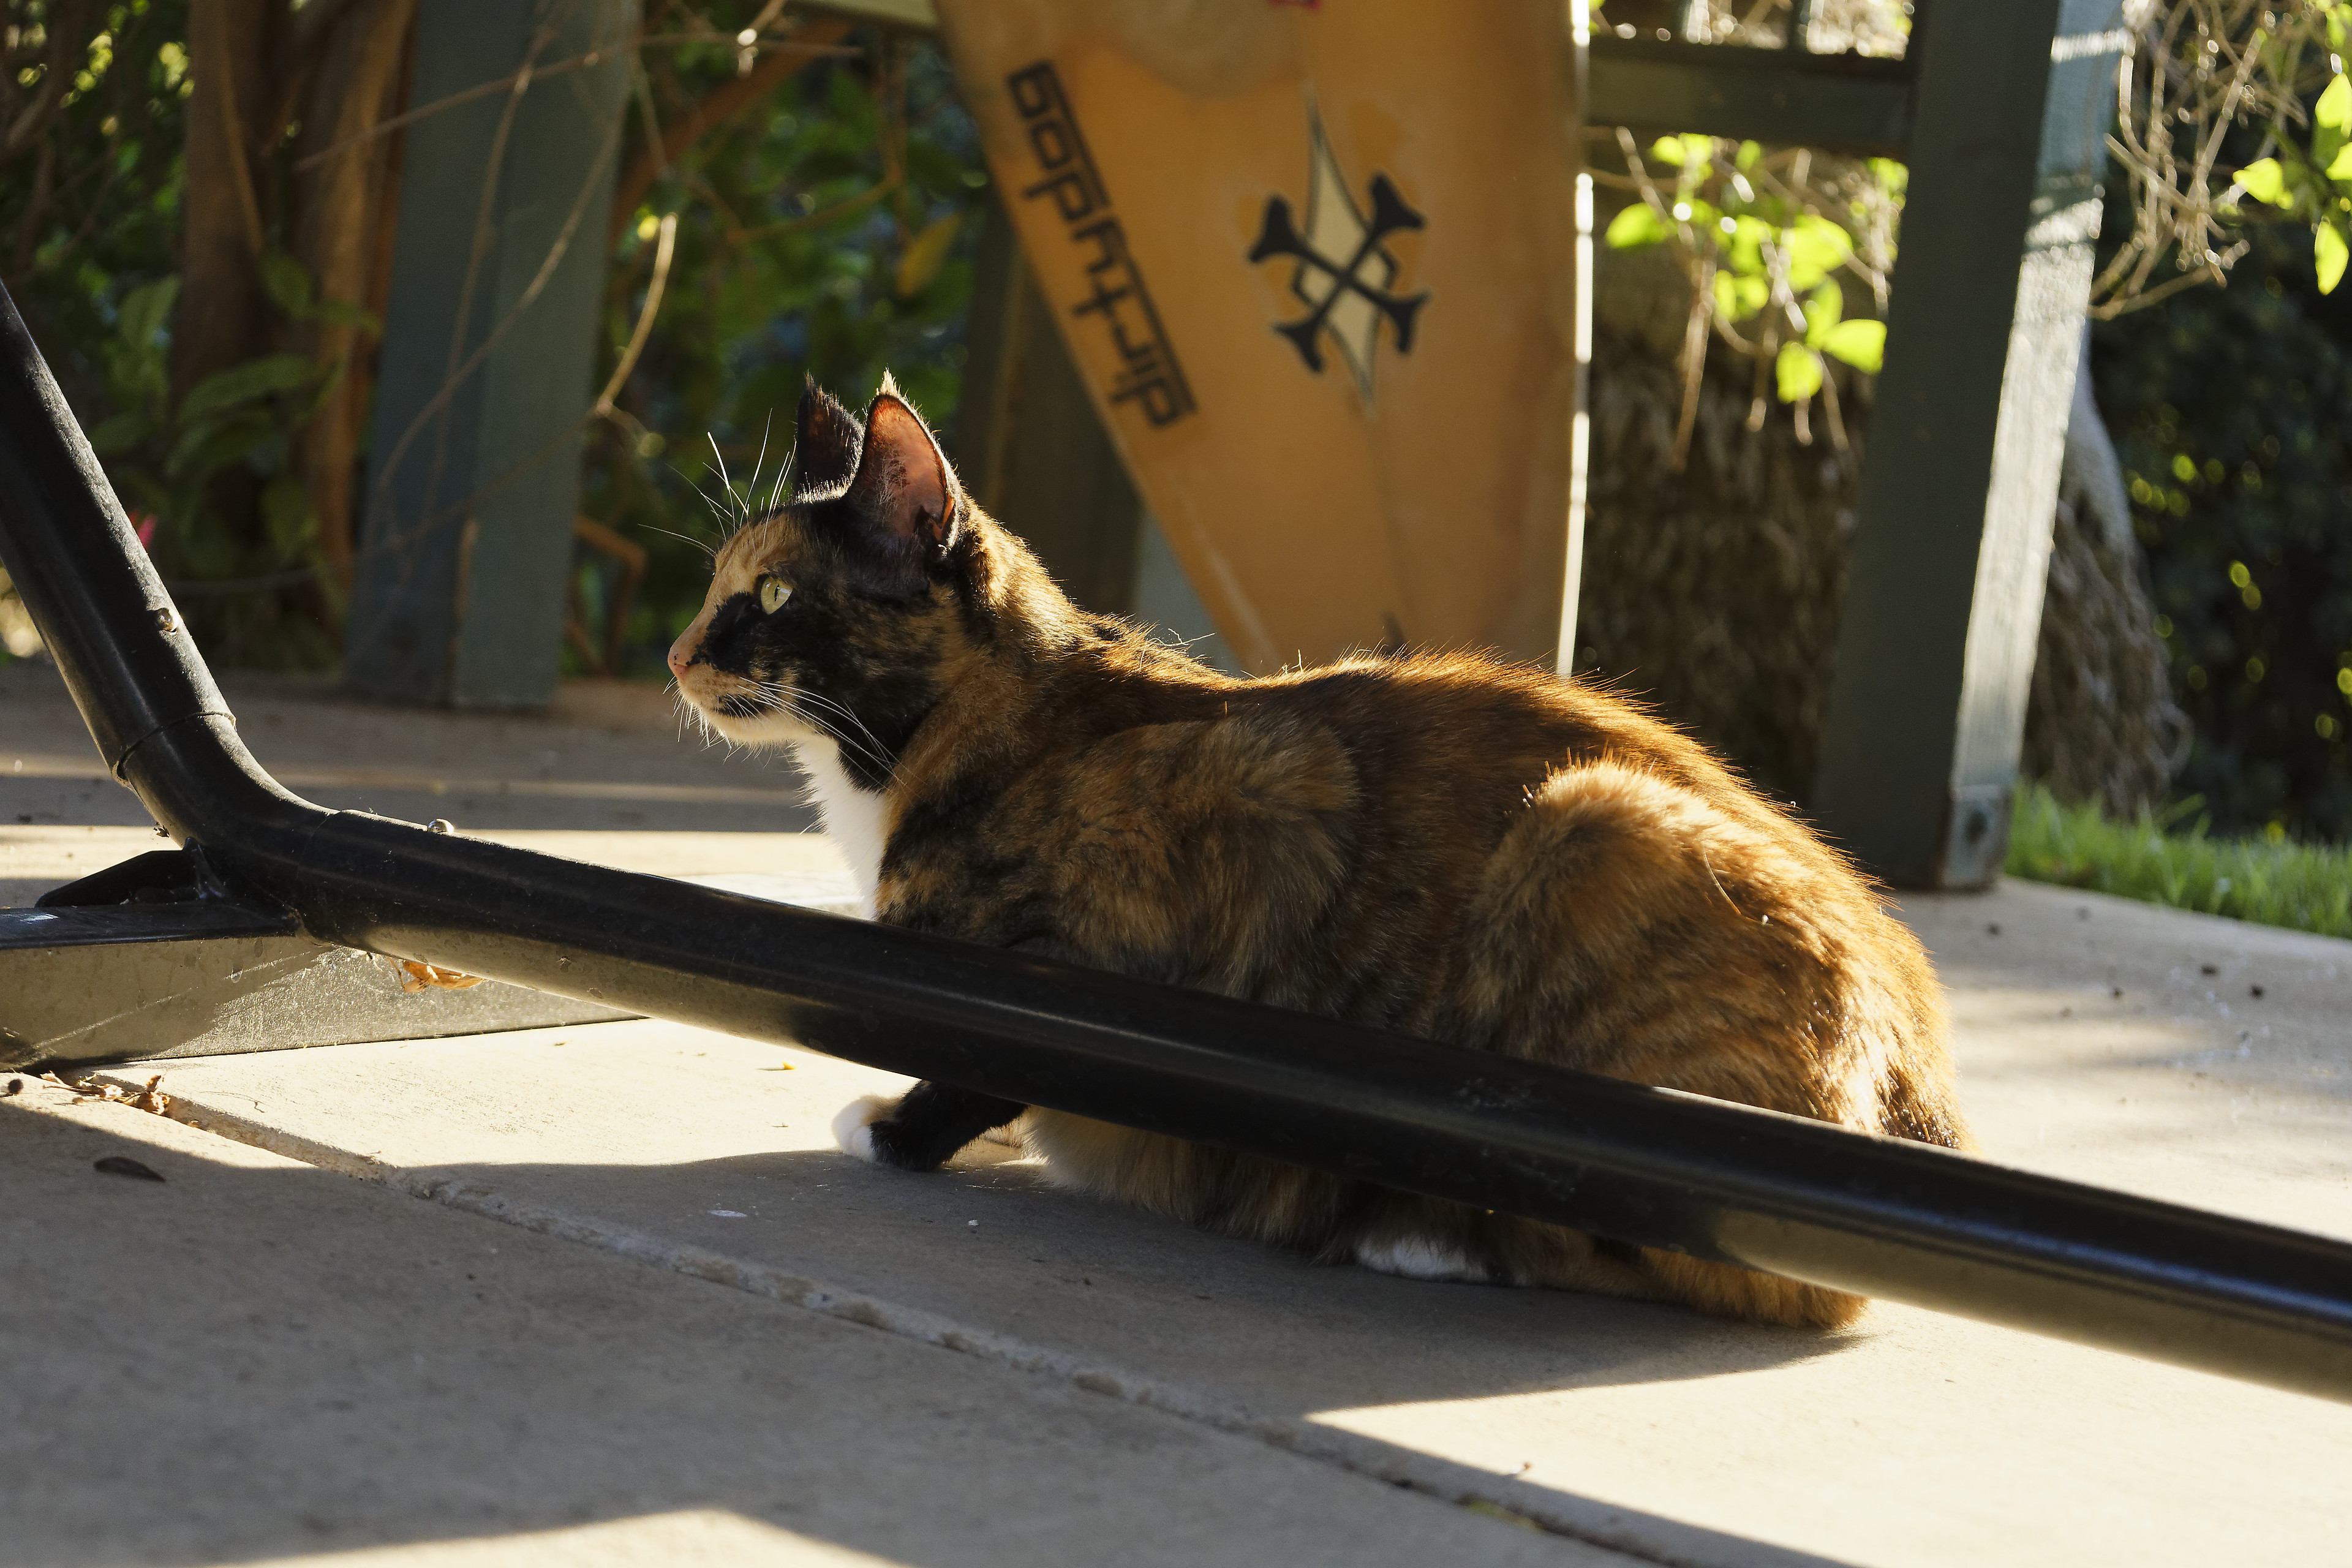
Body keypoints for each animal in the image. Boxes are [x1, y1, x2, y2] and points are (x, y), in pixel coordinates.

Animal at [667, 375, 1972, 1330]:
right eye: (712, 587)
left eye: (772, 595)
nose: (677, 655)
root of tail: (1929, 1088)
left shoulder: (1227, 828)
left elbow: (998, 1060)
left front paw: (903, 1130)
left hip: (1592, 817)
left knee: (1768, 1285)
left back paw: (1421, 1240)